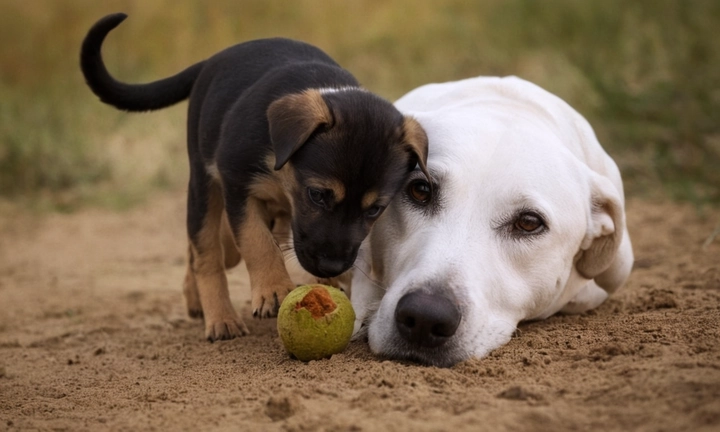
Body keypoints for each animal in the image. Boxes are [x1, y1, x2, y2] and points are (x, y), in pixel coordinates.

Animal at [79, 13, 428, 340]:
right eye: (317, 195)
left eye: (375, 209)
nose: (331, 266)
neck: (281, 168)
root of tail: (212, 60)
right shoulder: (238, 185)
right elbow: (255, 239)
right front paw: (272, 289)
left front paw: (328, 281)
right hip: (204, 186)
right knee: (207, 252)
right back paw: (220, 319)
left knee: (210, 250)